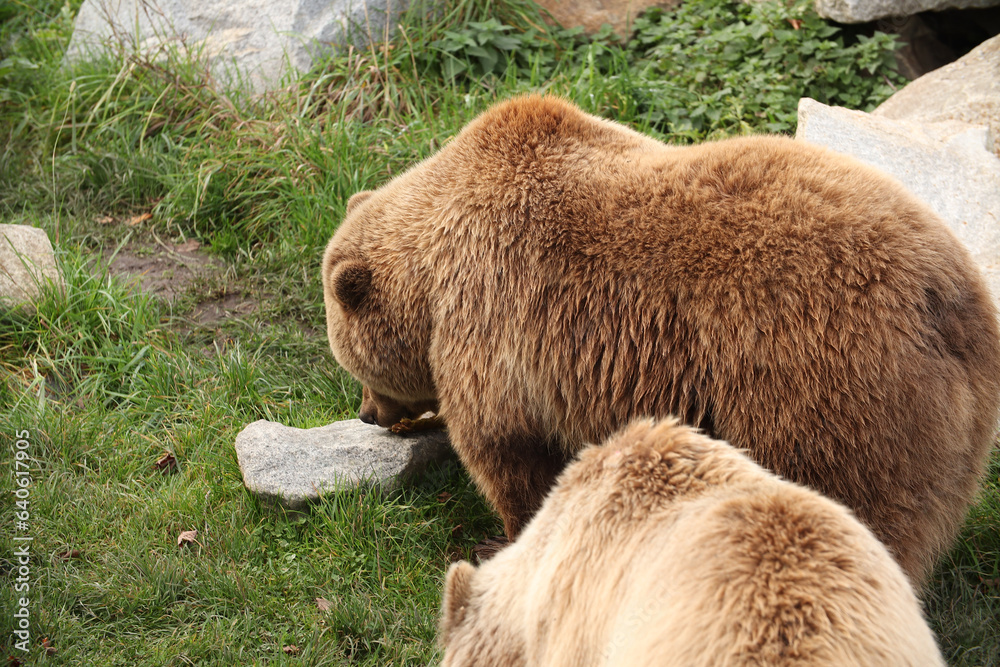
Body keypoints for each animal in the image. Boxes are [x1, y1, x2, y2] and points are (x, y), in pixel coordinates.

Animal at [322, 94, 1000, 583]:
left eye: (354, 364)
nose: (369, 414)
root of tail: (952, 299)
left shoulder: (491, 326)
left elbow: (506, 452)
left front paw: (504, 538)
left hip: (825, 388)